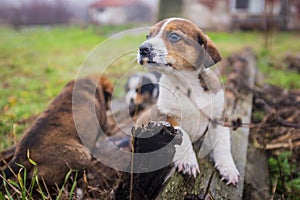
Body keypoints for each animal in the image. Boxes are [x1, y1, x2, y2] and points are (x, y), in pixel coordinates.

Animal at [138, 18, 239, 185]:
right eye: (148, 36)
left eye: (174, 36)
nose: (142, 49)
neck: (185, 82)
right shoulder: (168, 116)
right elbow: (183, 134)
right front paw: (188, 162)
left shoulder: (218, 117)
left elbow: (223, 144)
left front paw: (228, 168)